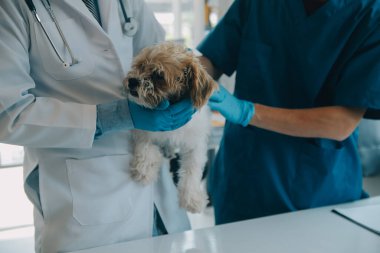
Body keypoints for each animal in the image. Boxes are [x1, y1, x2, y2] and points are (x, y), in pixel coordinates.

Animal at [124, 42, 217, 212]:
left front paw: (191, 199)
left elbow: (192, 171)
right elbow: (146, 149)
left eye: (159, 75)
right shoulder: (143, 130)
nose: (133, 81)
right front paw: (144, 171)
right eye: (140, 66)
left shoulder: (196, 145)